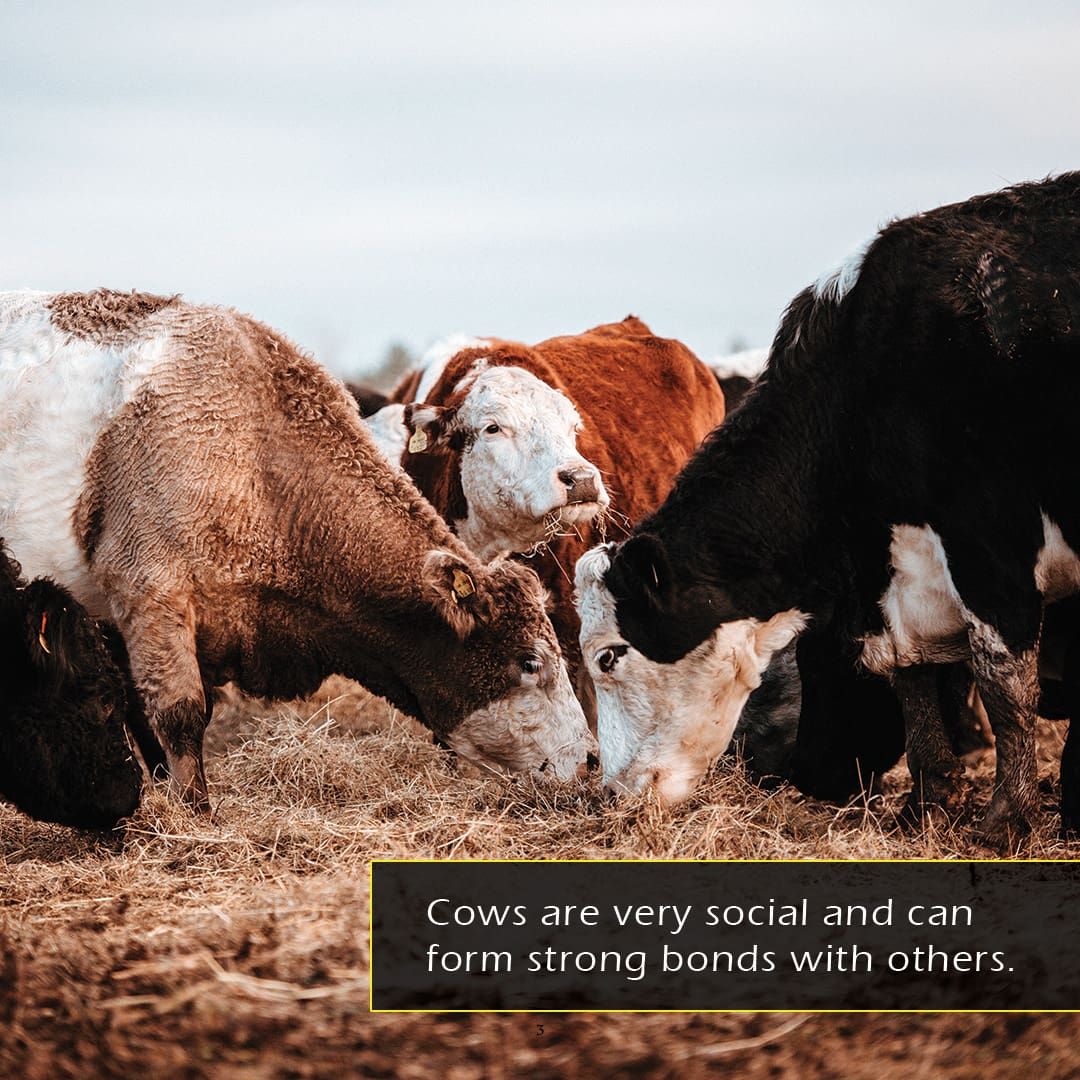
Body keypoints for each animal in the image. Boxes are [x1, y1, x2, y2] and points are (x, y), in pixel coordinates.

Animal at [587, 172, 1080, 848]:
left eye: (609, 655)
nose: (611, 795)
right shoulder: (889, 579)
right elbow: (911, 677)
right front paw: (926, 806)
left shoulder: (989, 538)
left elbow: (1003, 684)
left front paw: (1005, 820)